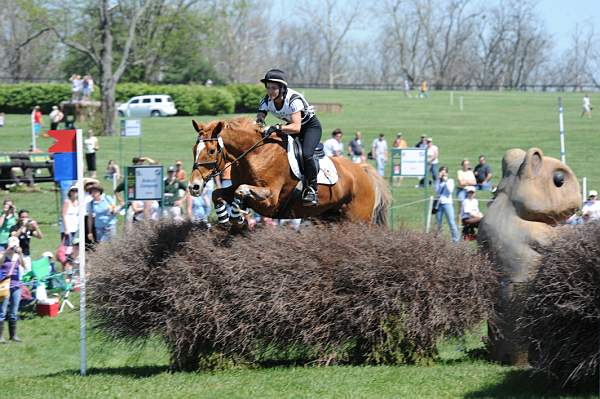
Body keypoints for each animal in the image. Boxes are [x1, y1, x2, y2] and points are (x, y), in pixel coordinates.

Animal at [190, 117, 392, 227]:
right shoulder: (236, 187)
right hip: (330, 217)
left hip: (358, 218)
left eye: (211, 151)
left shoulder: (270, 200)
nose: (194, 186)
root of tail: (362, 170)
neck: (255, 153)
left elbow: (241, 190)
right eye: (194, 149)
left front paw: (236, 215)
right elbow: (218, 193)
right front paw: (226, 218)